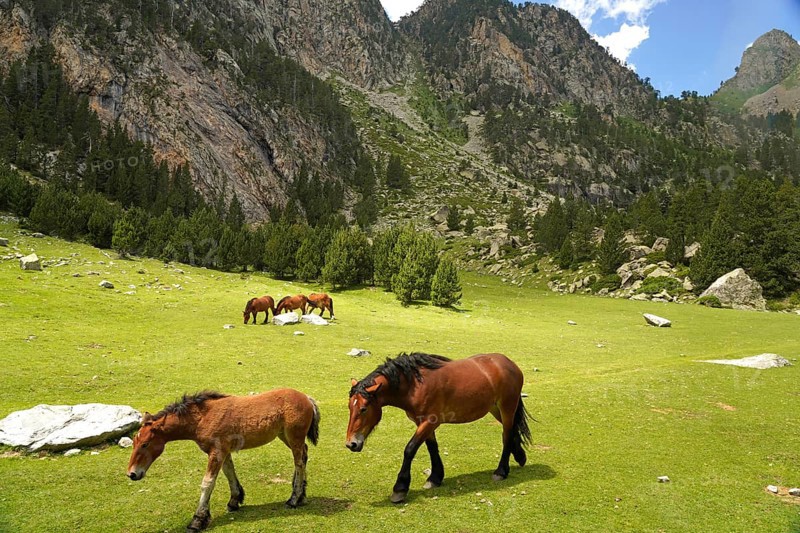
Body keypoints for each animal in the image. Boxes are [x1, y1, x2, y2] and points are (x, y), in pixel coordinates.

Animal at [127, 389, 320, 532]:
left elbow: (207, 482)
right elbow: (229, 473)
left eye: (145, 444)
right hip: (285, 437)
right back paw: (301, 494)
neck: (202, 418)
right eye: (134, 442)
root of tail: (307, 398)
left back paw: (294, 499)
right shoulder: (224, 452)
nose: (132, 473)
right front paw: (234, 501)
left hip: (294, 437)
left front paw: (198, 520)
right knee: (303, 456)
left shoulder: (216, 452)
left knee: (299, 463)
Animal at [345, 352, 531, 504]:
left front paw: (400, 488)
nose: (351, 444)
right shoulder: (422, 422)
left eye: (363, 409)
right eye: (349, 407)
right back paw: (520, 456)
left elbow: (410, 449)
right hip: (495, 409)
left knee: (506, 435)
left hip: (507, 407)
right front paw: (435, 478)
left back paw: (501, 471)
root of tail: (510, 364)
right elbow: (432, 448)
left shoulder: (430, 421)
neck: (414, 385)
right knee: (512, 431)